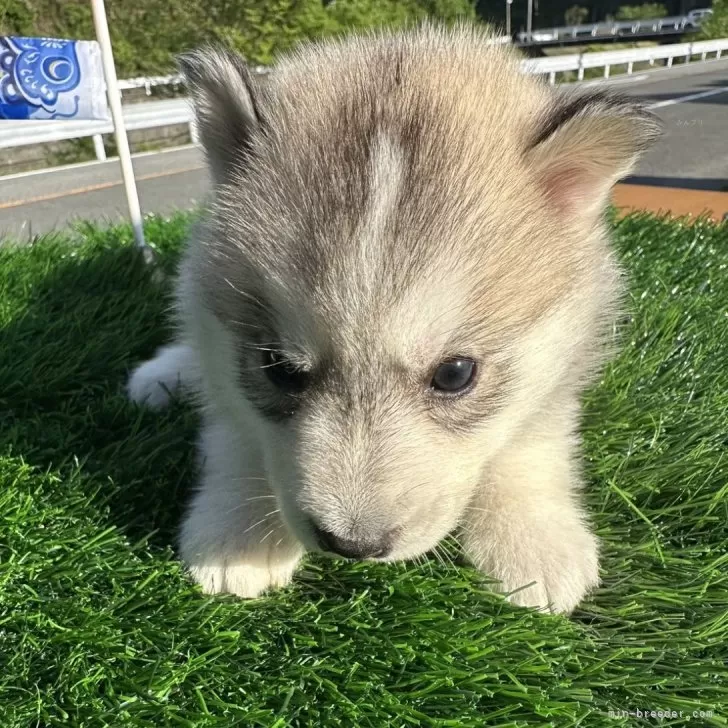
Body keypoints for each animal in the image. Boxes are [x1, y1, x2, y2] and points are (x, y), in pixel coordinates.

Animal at [126, 24, 660, 616]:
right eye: (279, 368)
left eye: (454, 374)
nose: (352, 544)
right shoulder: (221, 345)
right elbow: (235, 428)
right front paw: (239, 529)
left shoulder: (567, 353)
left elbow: (530, 440)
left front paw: (535, 540)